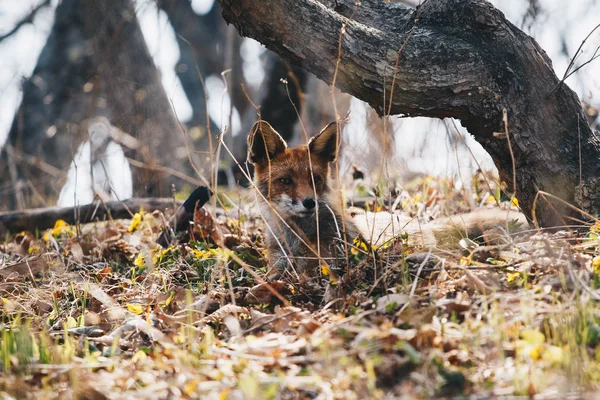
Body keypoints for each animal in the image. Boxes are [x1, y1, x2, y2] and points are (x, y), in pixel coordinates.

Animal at [246, 120, 528, 276]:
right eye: (286, 181)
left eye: (315, 180)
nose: (309, 203)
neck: (297, 239)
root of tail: (418, 222)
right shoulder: (279, 266)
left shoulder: (329, 262)